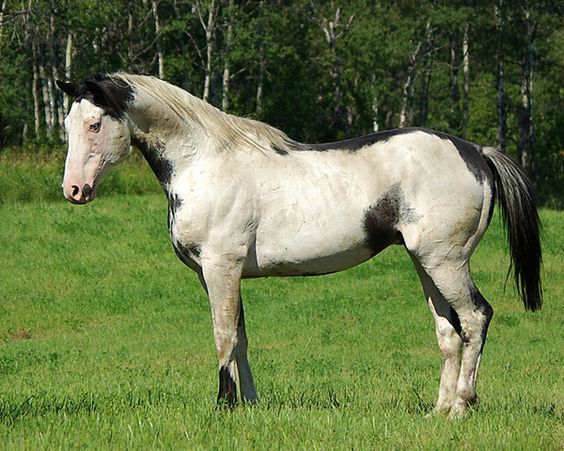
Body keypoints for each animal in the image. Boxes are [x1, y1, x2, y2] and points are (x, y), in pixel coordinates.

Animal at [57, 72, 540, 418]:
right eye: (68, 125)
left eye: (95, 124)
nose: (74, 190)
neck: (204, 163)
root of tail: (476, 152)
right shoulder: (219, 275)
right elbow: (241, 337)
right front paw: (250, 405)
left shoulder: (220, 268)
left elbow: (223, 335)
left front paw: (224, 406)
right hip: (426, 263)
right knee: (448, 332)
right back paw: (437, 411)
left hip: (447, 262)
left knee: (475, 318)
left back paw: (462, 406)